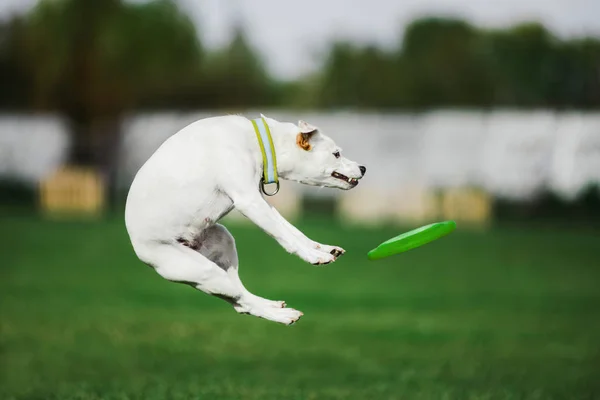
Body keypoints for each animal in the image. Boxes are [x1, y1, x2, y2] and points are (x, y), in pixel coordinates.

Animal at [124, 113, 364, 324]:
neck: (257, 142)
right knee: (243, 301)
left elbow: (292, 230)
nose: (363, 167)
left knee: (240, 298)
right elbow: (285, 236)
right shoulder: (249, 201)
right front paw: (314, 256)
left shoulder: (260, 201)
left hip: (223, 244)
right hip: (204, 271)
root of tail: (139, 250)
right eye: (336, 154)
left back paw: (273, 306)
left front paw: (322, 248)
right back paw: (284, 316)